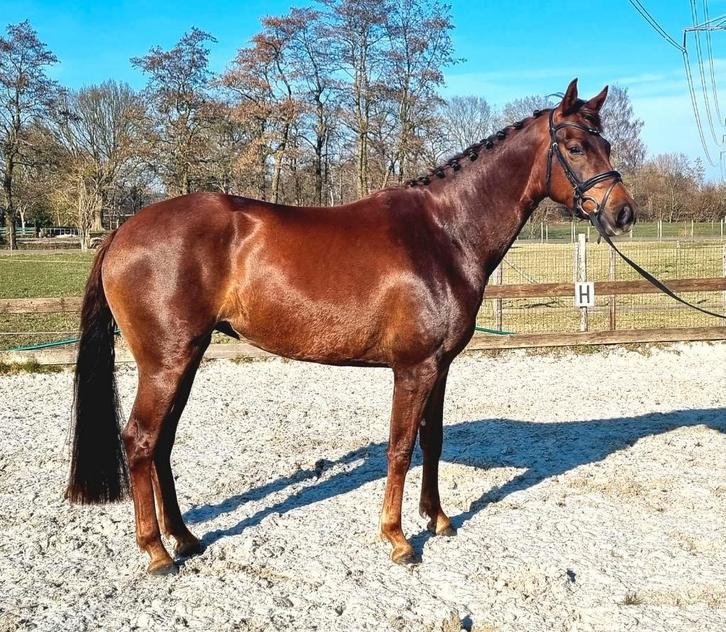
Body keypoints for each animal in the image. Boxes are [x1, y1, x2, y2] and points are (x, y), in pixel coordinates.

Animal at [66, 79, 636, 575]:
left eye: (606, 142)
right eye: (574, 146)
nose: (624, 213)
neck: (444, 232)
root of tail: (122, 230)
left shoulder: (440, 367)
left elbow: (433, 440)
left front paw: (438, 518)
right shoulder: (413, 368)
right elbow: (400, 448)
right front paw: (398, 538)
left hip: (185, 359)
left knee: (161, 443)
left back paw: (184, 538)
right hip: (166, 362)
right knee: (140, 440)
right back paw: (156, 551)